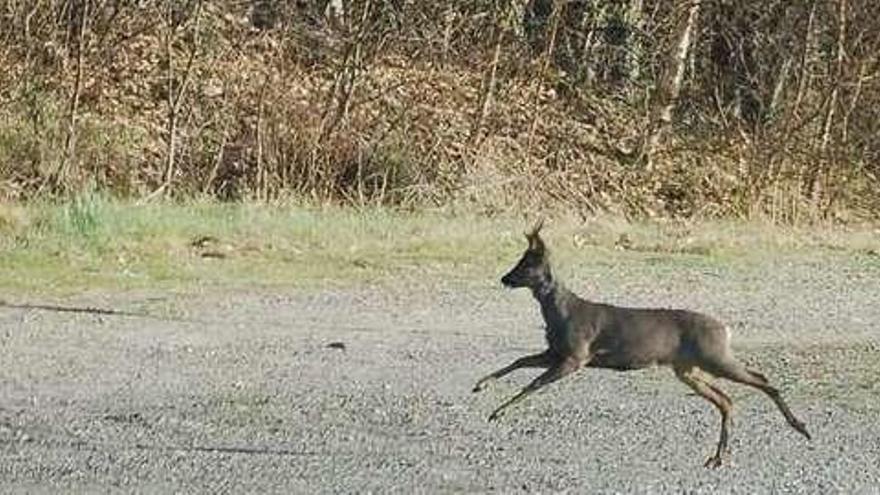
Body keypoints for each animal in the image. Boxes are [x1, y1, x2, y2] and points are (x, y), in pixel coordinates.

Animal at [474, 221, 812, 468]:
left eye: (526, 264)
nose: (505, 278)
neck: (561, 313)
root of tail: (725, 329)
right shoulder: (556, 352)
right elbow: (519, 362)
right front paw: (480, 386)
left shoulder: (576, 355)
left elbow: (533, 383)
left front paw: (497, 412)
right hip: (687, 369)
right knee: (726, 400)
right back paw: (716, 458)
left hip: (714, 356)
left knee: (762, 381)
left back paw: (800, 427)